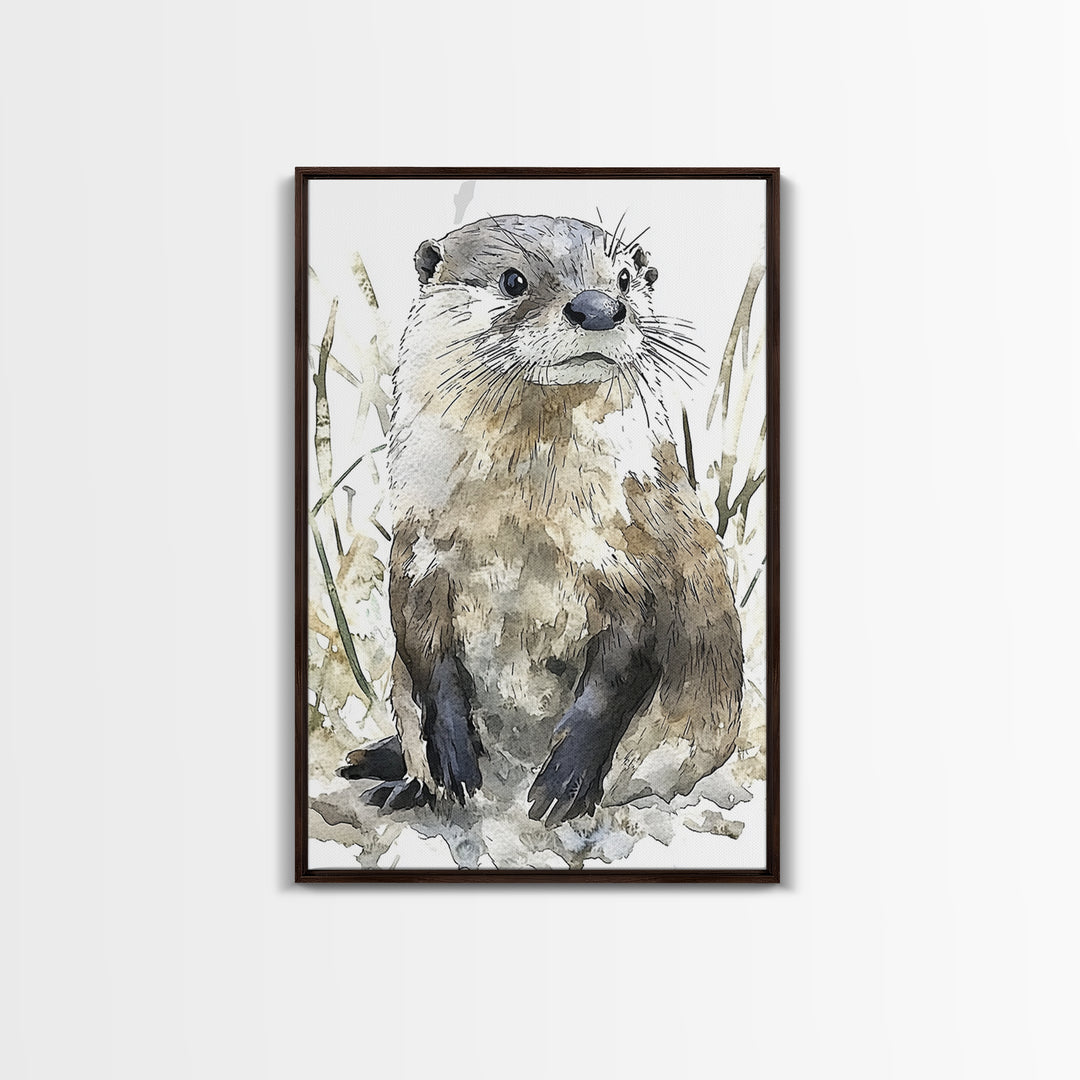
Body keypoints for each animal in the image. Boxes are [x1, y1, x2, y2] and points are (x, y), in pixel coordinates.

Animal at [342, 215, 744, 828]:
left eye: (625, 277)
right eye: (513, 280)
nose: (599, 307)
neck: (523, 529)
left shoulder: (642, 558)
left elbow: (620, 671)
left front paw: (563, 782)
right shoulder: (417, 555)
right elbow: (423, 651)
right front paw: (453, 759)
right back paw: (403, 785)